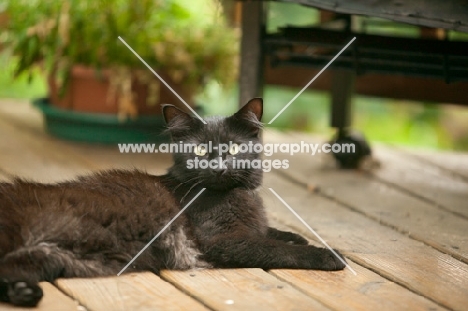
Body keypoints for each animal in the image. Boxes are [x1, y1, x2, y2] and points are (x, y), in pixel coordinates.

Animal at [0, 98, 344, 308]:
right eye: (201, 152)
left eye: (233, 149)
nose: (219, 167)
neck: (232, 194)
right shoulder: (221, 241)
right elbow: (276, 248)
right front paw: (328, 254)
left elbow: (272, 233)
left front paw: (296, 235)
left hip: (52, 256)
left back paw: (24, 292)